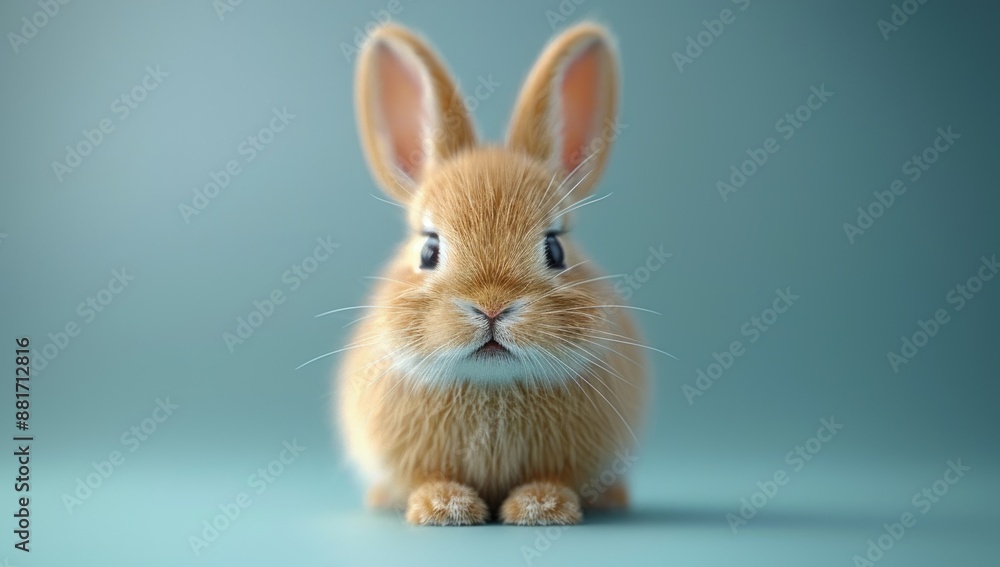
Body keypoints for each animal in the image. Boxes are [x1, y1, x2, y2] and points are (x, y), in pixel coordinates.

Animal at [336, 21, 648, 526]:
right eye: (429, 250)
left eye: (555, 248)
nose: (492, 306)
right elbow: (428, 477)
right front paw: (443, 507)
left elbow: (554, 479)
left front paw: (541, 507)